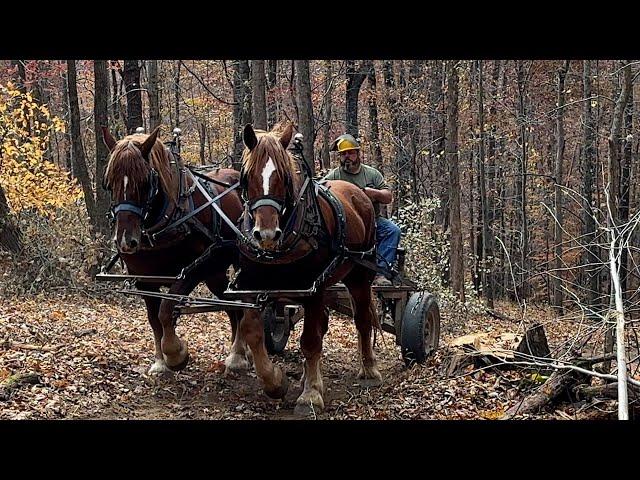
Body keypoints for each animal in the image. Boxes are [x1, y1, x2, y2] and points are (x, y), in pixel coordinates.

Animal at [101, 125, 251, 376]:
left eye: (145, 182)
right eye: (109, 183)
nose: (125, 241)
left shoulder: (191, 271)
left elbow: (166, 309)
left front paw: (175, 354)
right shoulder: (144, 279)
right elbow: (154, 318)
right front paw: (160, 362)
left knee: (241, 303)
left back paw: (238, 354)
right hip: (215, 272)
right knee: (231, 306)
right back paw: (239, 351)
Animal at [235, 121, 384, 412]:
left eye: (284, 176)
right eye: (246, 176)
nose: (266, 234)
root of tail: (358, 193)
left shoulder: (313, 289)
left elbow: (310, 340)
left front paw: (311, 394)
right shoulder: (252, 288)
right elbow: (253, 333)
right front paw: (275, 382)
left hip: (359, 274)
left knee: (362, 318)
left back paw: (369, 368)